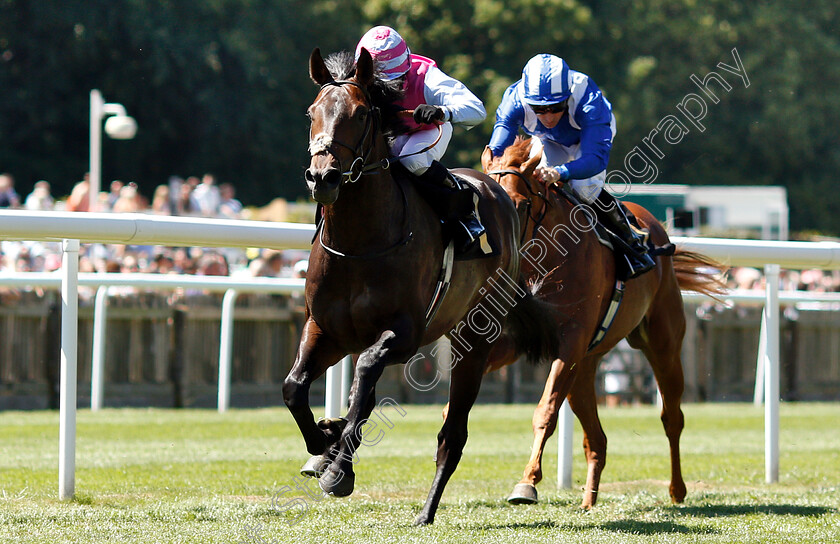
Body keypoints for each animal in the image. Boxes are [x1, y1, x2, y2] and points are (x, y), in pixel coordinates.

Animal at [286, 49, 560, 524]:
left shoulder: (406, 335)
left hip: (475, 339)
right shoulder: (326, 330)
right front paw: (325, 440)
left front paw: (337, 465)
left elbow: (365, 373)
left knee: (452, 435)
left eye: (362, 113)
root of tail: (499, 193)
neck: (360, 243)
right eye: (311, 112)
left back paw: (426, 511)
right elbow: (296, 387)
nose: (323, 177)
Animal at [482, 136, 724, 510]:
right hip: (585, 367)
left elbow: (545, 410)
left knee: (672, 418)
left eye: (520, 205)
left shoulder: (569, 345)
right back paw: (588, 501)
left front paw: (527, 482)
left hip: (662, 346)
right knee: (597, 440)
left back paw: (677, 489)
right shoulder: (519, 341)